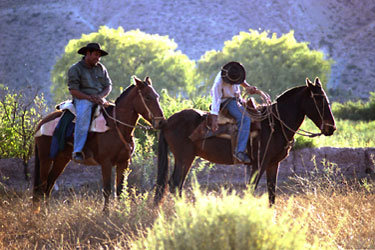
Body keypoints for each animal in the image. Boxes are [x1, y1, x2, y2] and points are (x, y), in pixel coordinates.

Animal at [33, 75, 165, 211]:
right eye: (147, 97)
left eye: (157, 96)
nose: (161, 122)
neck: (117, 126)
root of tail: (41, 124)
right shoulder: (106, 163)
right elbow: (107, 190)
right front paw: (106, 213)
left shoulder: (123, 162)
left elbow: (119, 190)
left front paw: (119, 211)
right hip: (45, 159)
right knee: (42, 187)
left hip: (61, 159)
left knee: (49, 185)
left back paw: (47, 211)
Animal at [154, 77, 336, 205]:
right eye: (318, 99)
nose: (331, 128)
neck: (275, 125)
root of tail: (168, 121)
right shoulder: (259, 164)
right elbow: (251, 190)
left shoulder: (273, 164)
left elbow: (272, 194)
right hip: (185, 157)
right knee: (175, 184)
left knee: (175, 185)